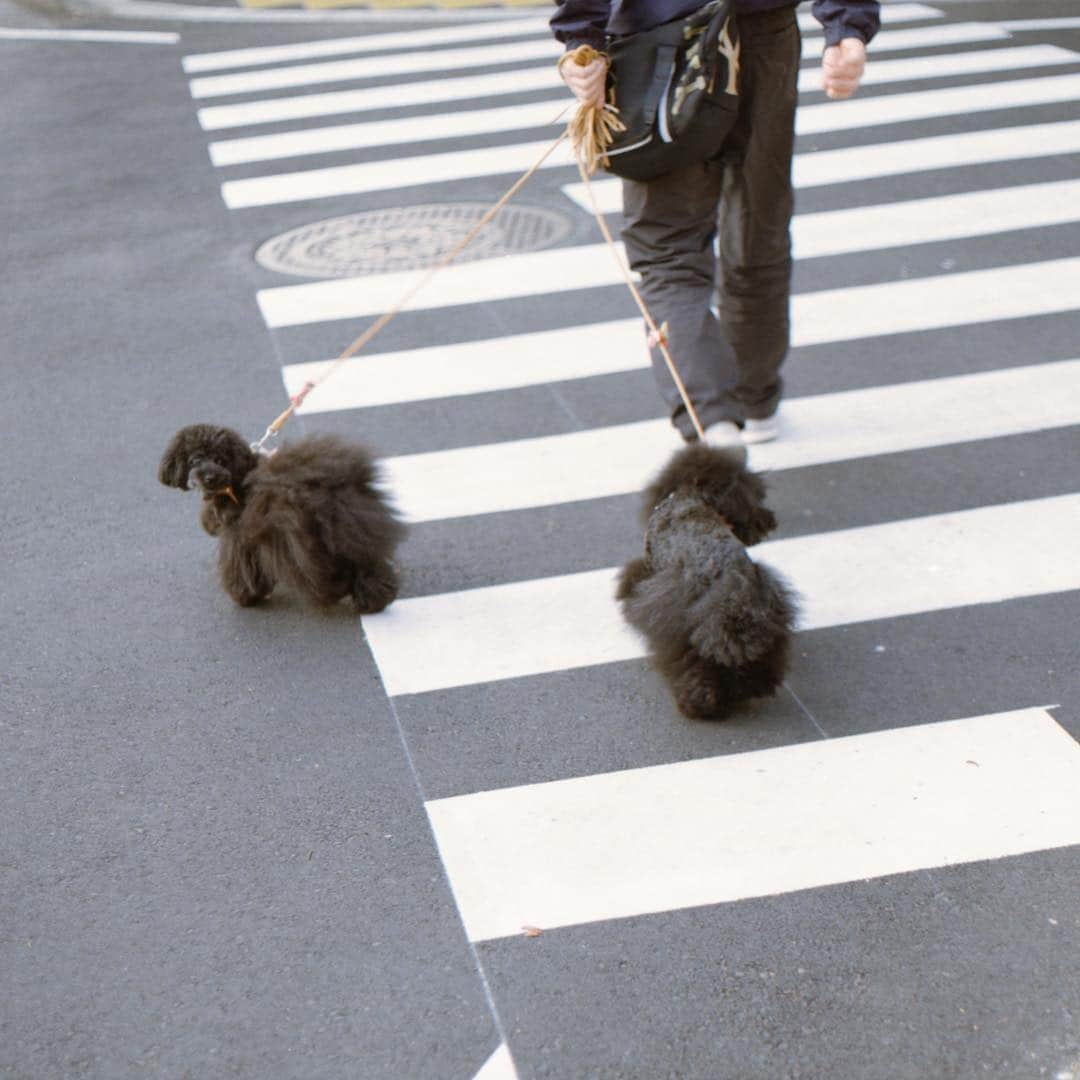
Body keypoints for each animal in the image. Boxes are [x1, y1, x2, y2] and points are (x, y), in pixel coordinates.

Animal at [155, 423, 401, 613]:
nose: (210, 477)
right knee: (365, 560)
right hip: (350, 529)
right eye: (195, 460)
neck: (234, 481)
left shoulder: (240, 533)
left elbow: (240, 565)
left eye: (220, 459)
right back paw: (375, 598)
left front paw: (246, 595)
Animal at [617, 442, 794, 721]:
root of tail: (731, 593)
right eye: (756, 495)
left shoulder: (650, 567)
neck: (691, 499)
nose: (770, 521)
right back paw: (755, 686)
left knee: (695, 669)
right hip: (765, 614)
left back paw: (700, 704)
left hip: (684, 627)